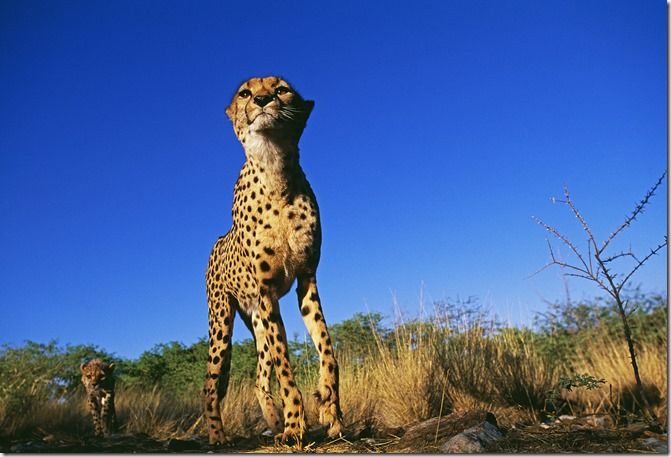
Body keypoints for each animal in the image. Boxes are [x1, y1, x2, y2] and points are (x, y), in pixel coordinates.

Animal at [203, 76, 342, 444]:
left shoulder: (307, 280)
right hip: (222, 323)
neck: (274, 170)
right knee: (210, 384)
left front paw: (331, 411)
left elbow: (327, 349)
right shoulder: (266, 292)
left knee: (258, 375)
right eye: (245, 93)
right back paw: (218, 436)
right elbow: (285, 369)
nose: (263, 100)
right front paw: (295, 425)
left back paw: (273, 419)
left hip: (257, 321)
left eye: (282, 89)